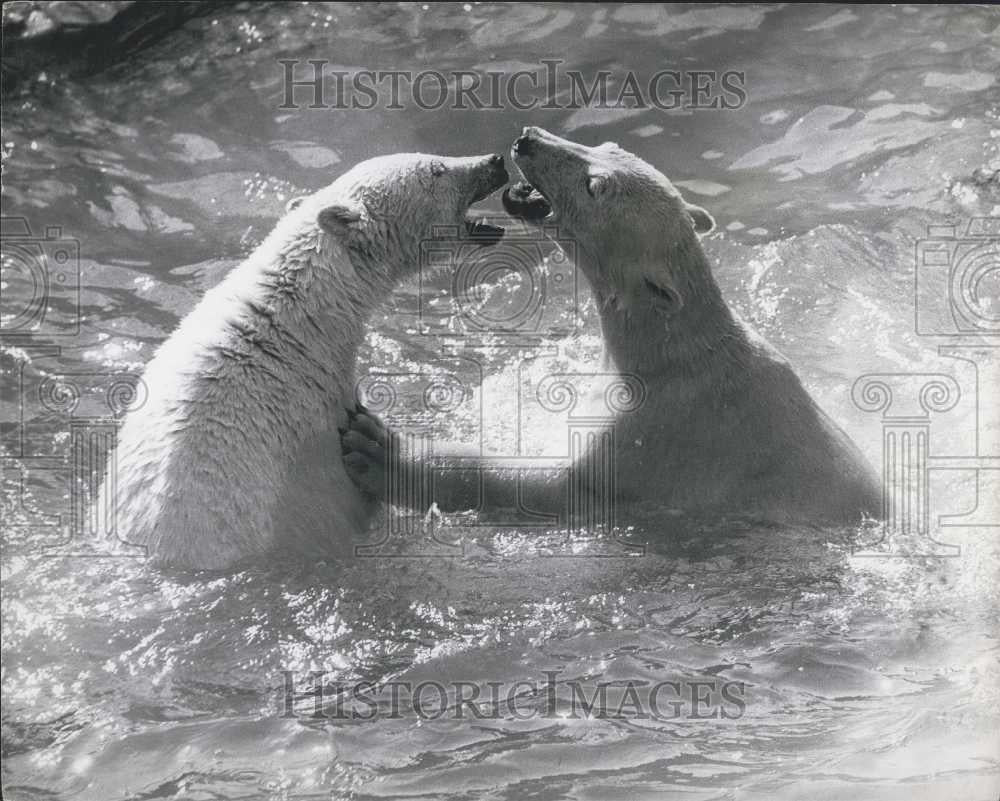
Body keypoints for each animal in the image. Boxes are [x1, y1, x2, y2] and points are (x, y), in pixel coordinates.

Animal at [341, 127, 881, 527]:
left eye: (595, 186)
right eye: (607, 145)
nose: (528, 139)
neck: (669, 350)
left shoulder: (660, 433)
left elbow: (553, 485)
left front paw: (383, 450)